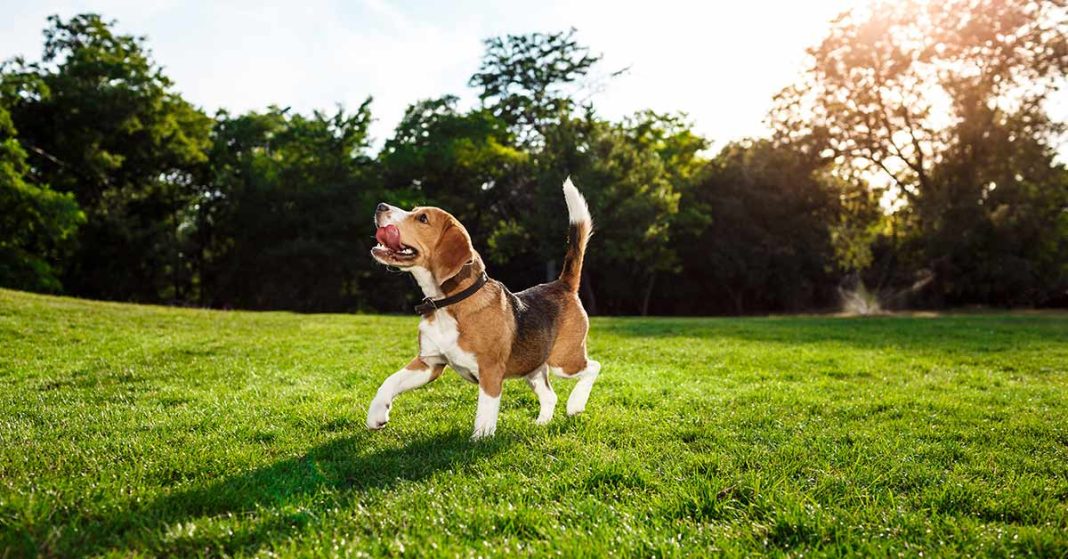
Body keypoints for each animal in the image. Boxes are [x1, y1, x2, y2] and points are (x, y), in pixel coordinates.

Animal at [367, 177, 602, 440]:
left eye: (423, 219)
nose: (380, 206)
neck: (448, 304)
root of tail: (562, 284)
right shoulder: (429, 363)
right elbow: (390, 381)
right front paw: (376, 414)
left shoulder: (490, 370)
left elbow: (485, 409)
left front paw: (480, 439)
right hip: (533, 367)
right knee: (550, 395)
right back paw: (541, 423)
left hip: (564, 361)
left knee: (593, 367)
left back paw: (576, 404)